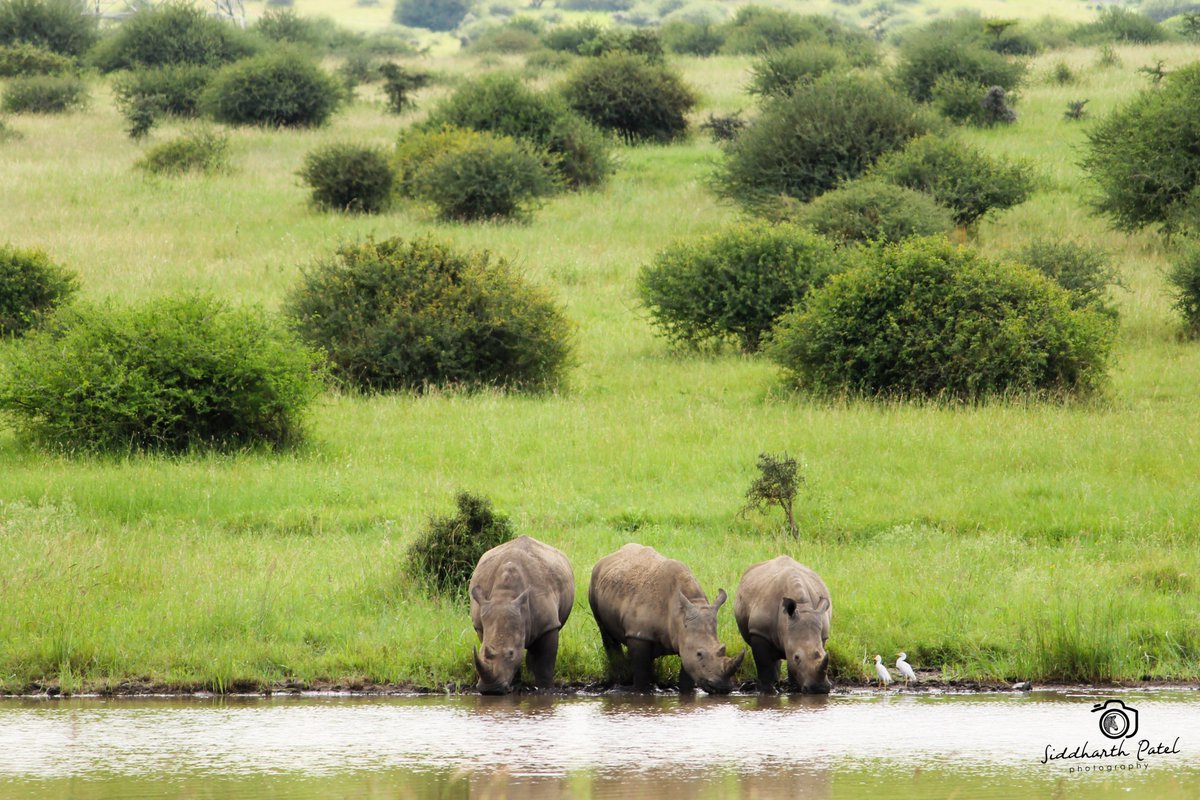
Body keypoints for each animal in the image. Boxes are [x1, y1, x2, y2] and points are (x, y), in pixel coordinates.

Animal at [469, 536, 575, 695]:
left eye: (511, 653)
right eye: (480, 652)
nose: (490, 690)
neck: (504, 596)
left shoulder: (549, 625)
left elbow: (546, 662)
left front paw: (545, 689)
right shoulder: (481, 626)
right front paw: (514, 686)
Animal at [588, 543, 745, 694]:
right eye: (699, 654)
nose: (722, 688)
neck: (679, 616)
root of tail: (608, 556)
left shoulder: (685, 640)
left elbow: (686, 679)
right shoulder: (638, 635)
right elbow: (641, 675)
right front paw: (642, 692)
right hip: (594, 580)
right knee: (605, 630)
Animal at [734, 555, 832, 694]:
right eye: (797, 657)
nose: (819, 689)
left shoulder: (822, 635)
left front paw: (795, 691)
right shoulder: (759, 631)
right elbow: (764, 666)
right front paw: (767, 692)